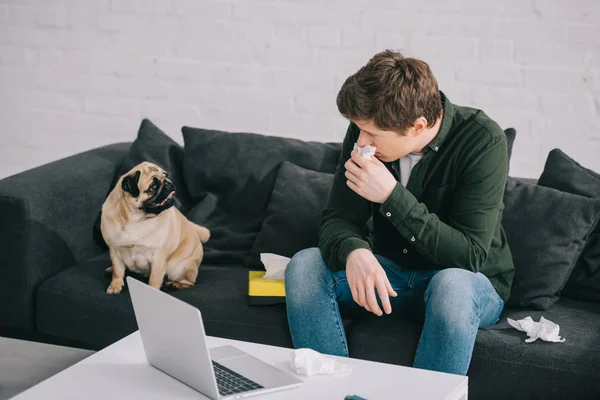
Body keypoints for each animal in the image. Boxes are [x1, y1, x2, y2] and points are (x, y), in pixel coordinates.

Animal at [99, 161, 210, 296]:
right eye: (153, 187)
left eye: (166, 175)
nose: (168, 183)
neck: (136, 220)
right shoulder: (114, 251)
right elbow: (118, 271)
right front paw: (115, 285)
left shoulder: (158, 258)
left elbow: (154, 280)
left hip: (180, 268)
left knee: (189, 282)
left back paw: (174, 285)